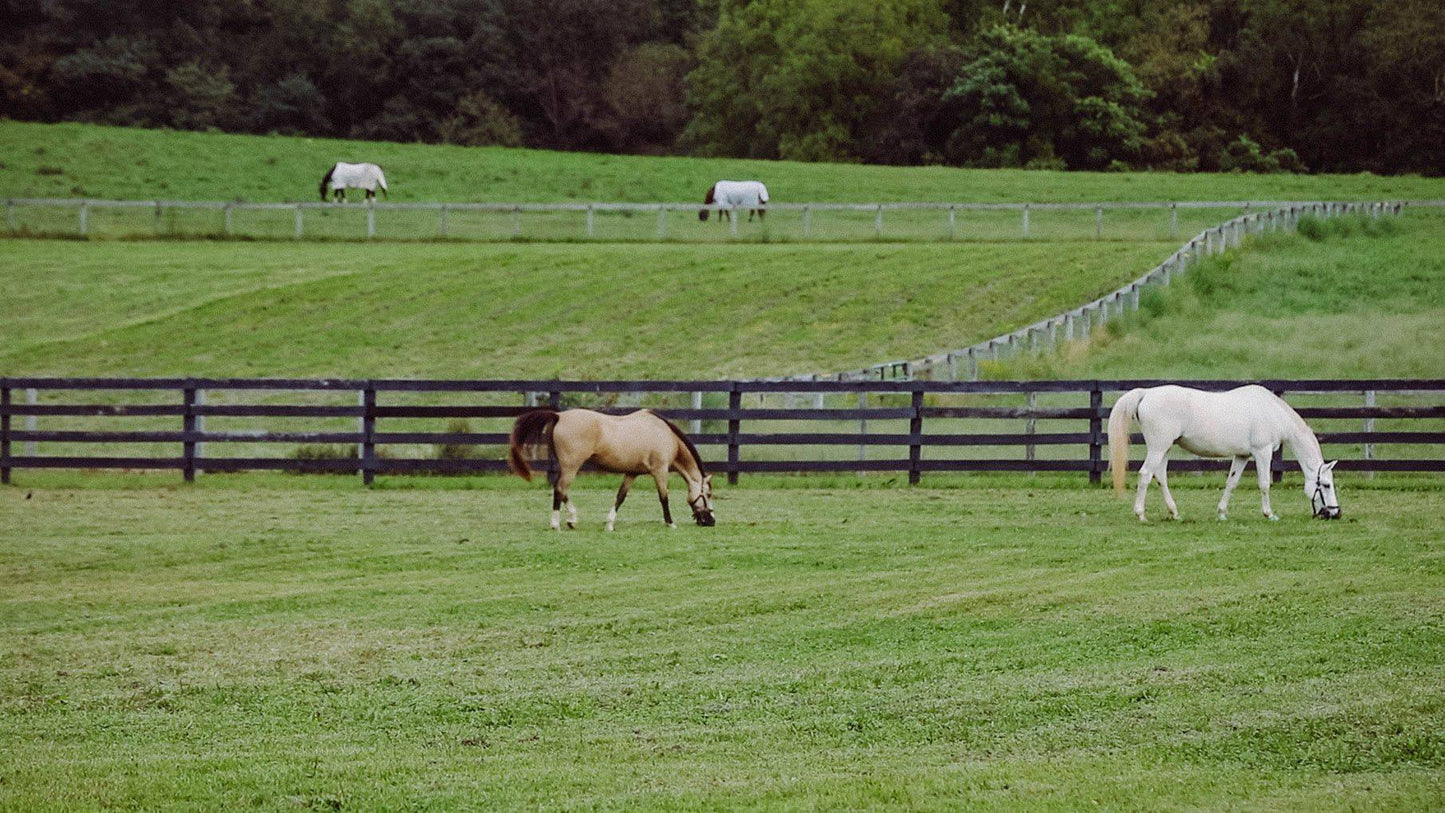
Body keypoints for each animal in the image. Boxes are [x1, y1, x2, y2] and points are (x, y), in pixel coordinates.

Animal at [508, 407, 716, 534]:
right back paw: (555, 524)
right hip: (571, 467)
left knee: (560, 489)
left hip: (567, 467)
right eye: (708, 494)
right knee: (560, 489)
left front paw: (609, 524)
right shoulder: (660, 471)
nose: (711, 521)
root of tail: (559, 416)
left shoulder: (632, 473)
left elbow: (620, 497)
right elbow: (664, 498)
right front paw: (670, 522)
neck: (665, 434)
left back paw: (572, 519)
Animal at [1103, 387, 1340, 525]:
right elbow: (1264, 484)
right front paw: (1269, 514)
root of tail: (1146, 393)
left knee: (1160, 476)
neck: (1272, 411)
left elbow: (1231, 483)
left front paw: (1222, 513)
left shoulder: (1242, 455)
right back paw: (1141, 514)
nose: (1336, 513)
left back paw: (1174, 513)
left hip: (1164, 448)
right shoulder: (1262, 452)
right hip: (1158, 447)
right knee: (1145, 475)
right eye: (1326, 485)